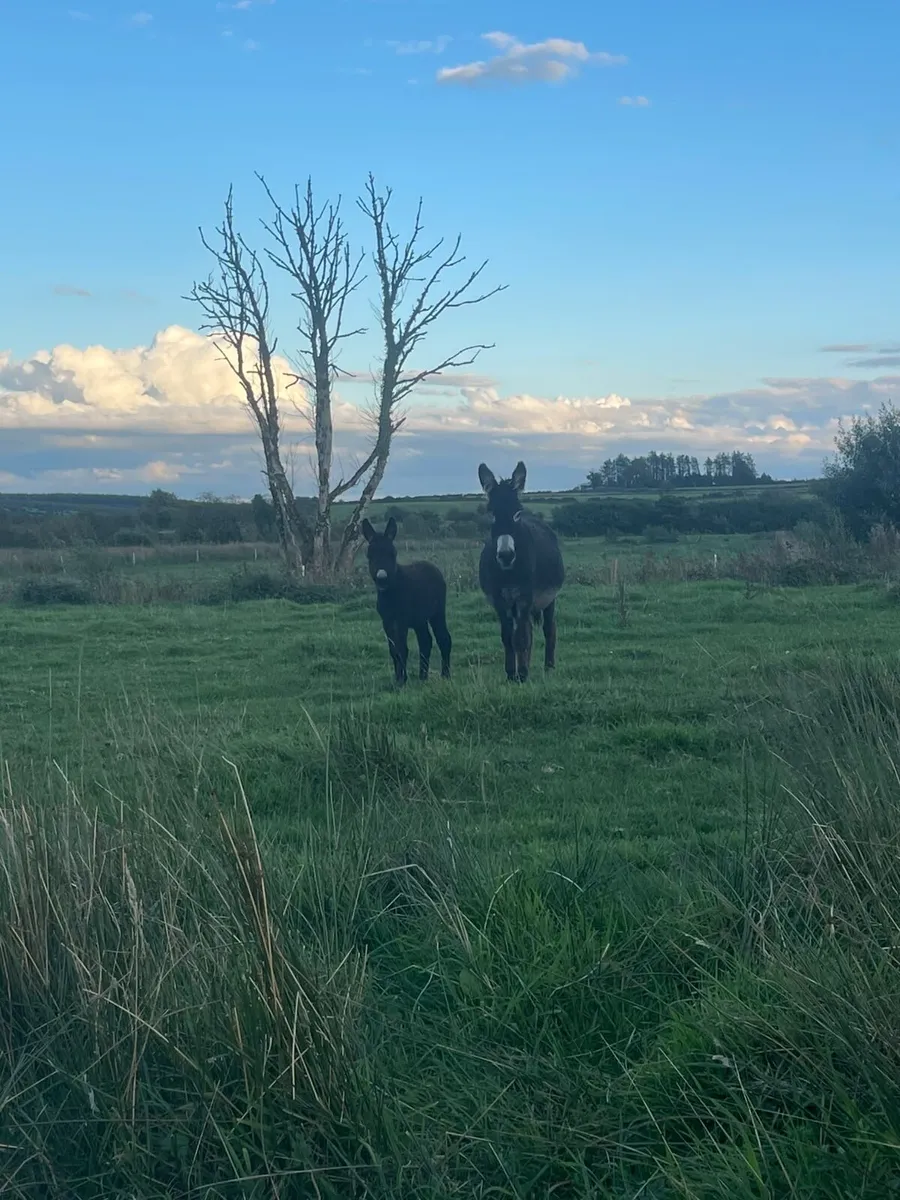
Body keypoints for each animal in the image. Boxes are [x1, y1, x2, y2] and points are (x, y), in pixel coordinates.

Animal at [361, 517, 452, 686]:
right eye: (370, 555)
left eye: (393, 554)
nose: (382, 578)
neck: (392, 592)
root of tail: (431, 565)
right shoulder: (387, 621)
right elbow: (393, 650)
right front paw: (398, 678)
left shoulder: (401, 620)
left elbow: (402, 649)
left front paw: (401, 681)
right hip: (419, 620)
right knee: (426, 641)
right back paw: (423, 676)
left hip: (437, 613)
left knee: (443, 638)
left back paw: (445, 675)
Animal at [477, 461, 565, 683]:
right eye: (492, 514)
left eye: (517, 513)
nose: (506, 555)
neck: (509, 571)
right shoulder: (500, 600)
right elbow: (508, 638)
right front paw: (511, 673)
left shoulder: (525, 597)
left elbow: (521, 638)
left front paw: (522, 675)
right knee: (528, 630)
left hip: (548, 599)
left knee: (548, 629)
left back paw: (548, 667)